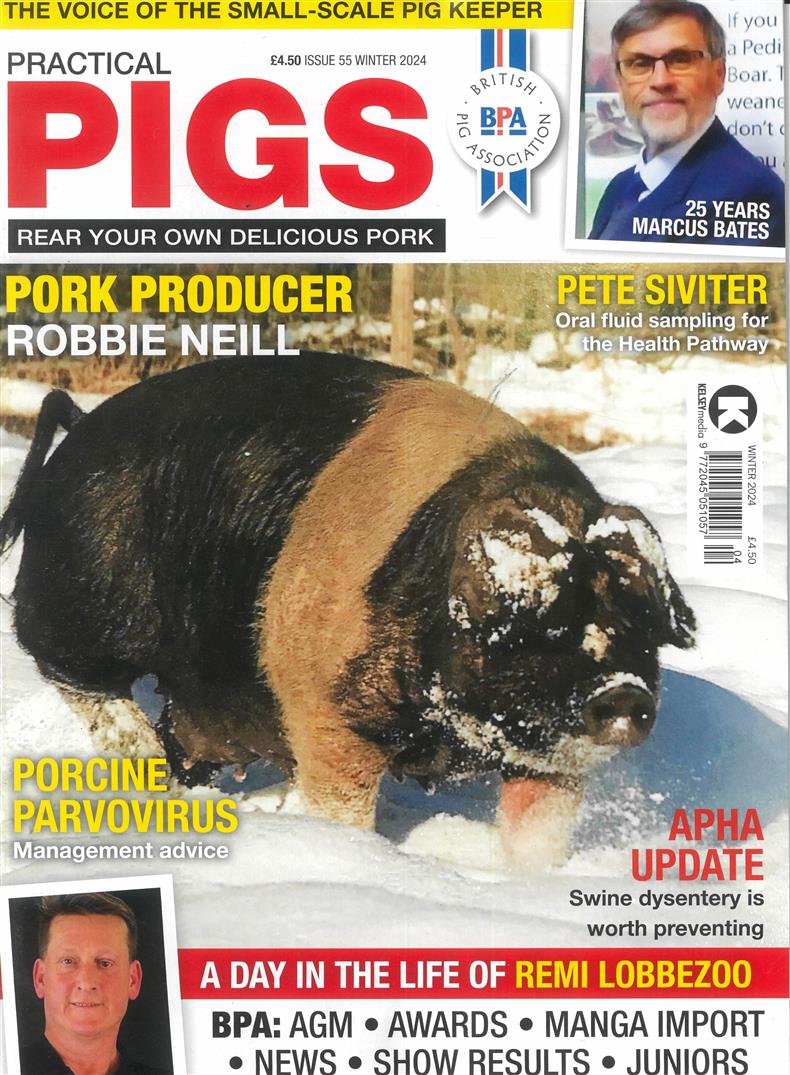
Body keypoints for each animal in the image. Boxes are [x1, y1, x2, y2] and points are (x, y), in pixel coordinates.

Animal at [0, 354, 695, 865]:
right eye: (540, 623)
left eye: (643, 625)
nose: (624, 691)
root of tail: (79, 430)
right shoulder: (323, 705)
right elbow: (344, 805)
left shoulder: (550, 758)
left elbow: (538, 828)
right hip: (81, 604)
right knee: (76, 676)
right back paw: (146, 765)